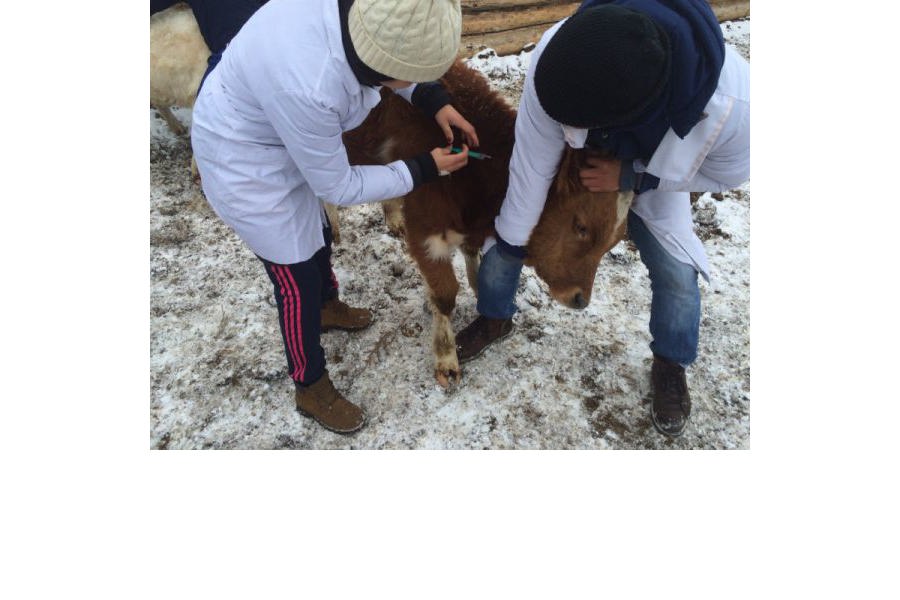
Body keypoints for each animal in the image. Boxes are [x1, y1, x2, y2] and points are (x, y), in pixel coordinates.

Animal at [344, 63, 632, 386]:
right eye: (581, 226)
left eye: (613, 242)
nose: (580, 299)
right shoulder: (425, 228)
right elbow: (445, 294)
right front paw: (446, 359)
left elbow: (472, 255)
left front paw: (479, 291)